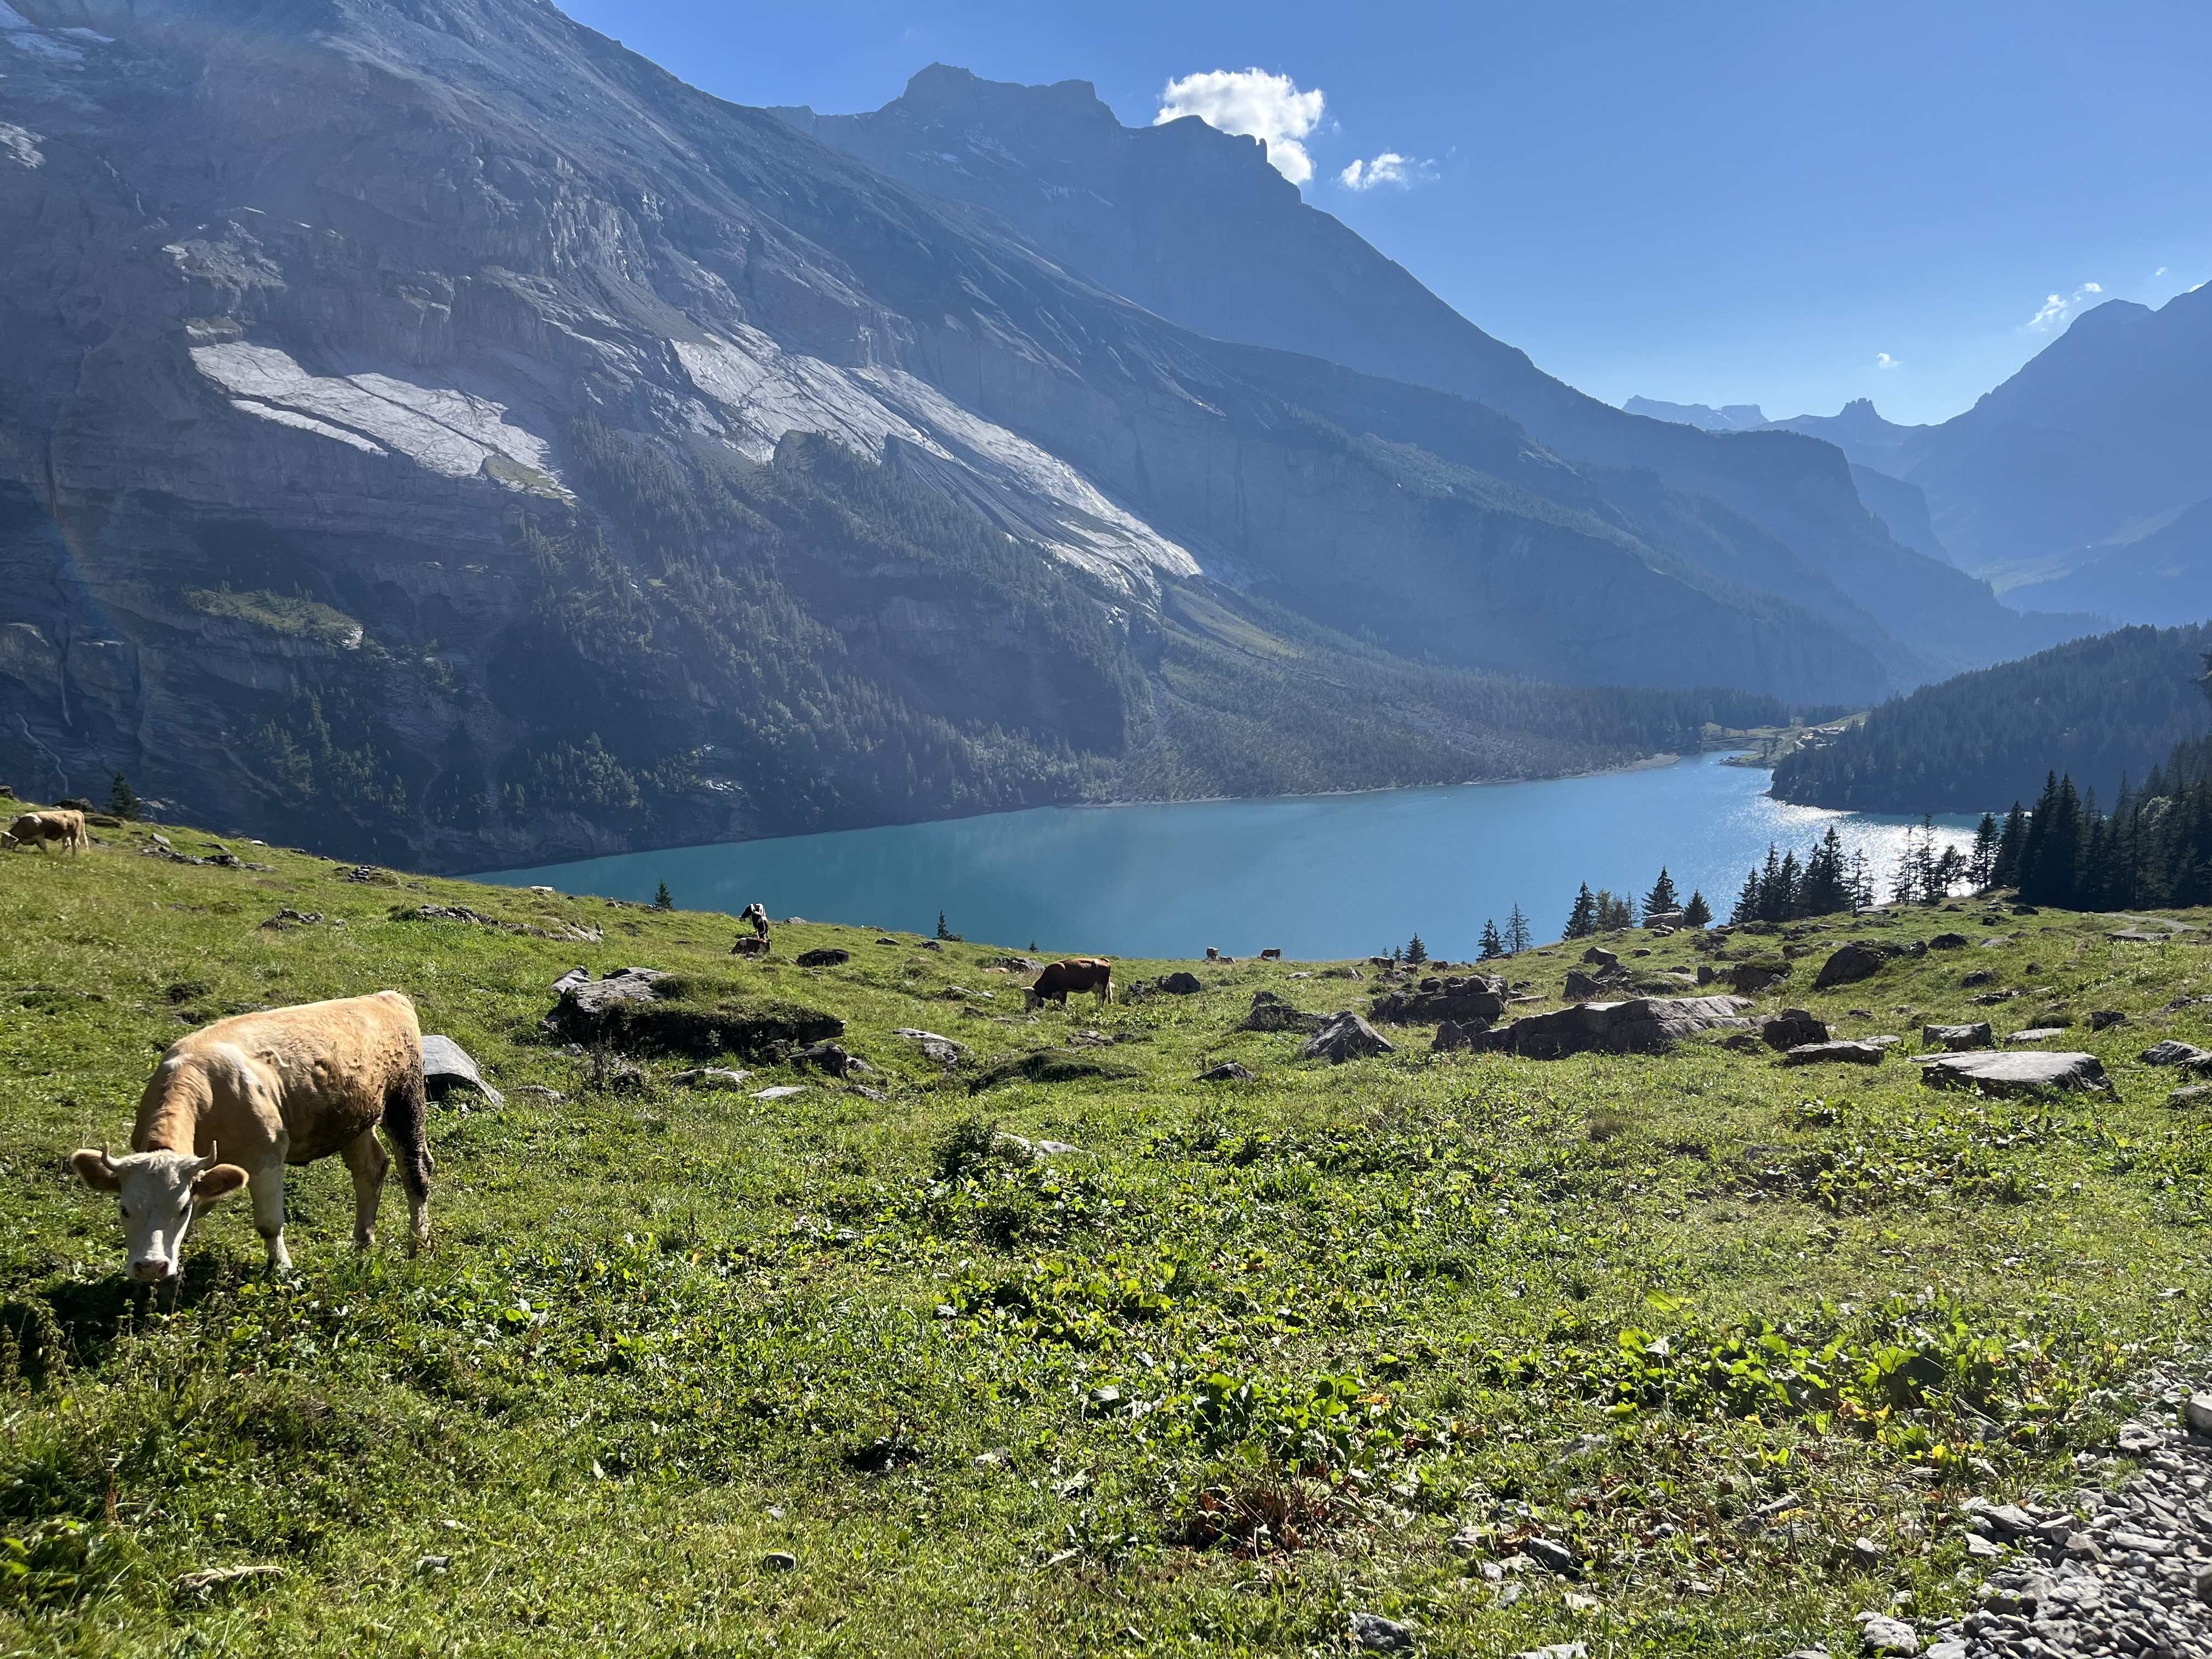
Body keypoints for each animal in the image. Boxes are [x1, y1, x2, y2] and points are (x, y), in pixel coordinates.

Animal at [4, 814, 88, 862]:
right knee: (67, 845)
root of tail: (76, 811)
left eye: (6, 840)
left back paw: (73, 859)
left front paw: (47, 854)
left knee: (75, 846)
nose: (2, 849)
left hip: (75, 834)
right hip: (66, 835)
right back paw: (59, 855)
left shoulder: (39, 836)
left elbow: (43, 846)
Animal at [72, 986, 431, 1283]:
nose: (150, 1267)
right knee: (370, 1169)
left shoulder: (266, 1157)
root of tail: (384, 998)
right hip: (355, 1120)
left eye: (181, 1209)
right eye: (124, 1210)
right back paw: (361, 1243)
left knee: (416, 1171)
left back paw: (419, 1245)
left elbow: (269, 1223)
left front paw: (282, 1268)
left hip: (405, 1099)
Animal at [1026, 960, 1115, 1013]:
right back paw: (1097, 1007)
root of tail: (1102, 960)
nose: (1027, 1010)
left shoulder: (1063, 989)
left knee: (1103, 996)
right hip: (1097, 988)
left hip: (1102, 985)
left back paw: (1100, 1009)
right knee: (1098, 997)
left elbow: (1063, 1002)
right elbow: (1057, 1001)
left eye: (1032, 999)